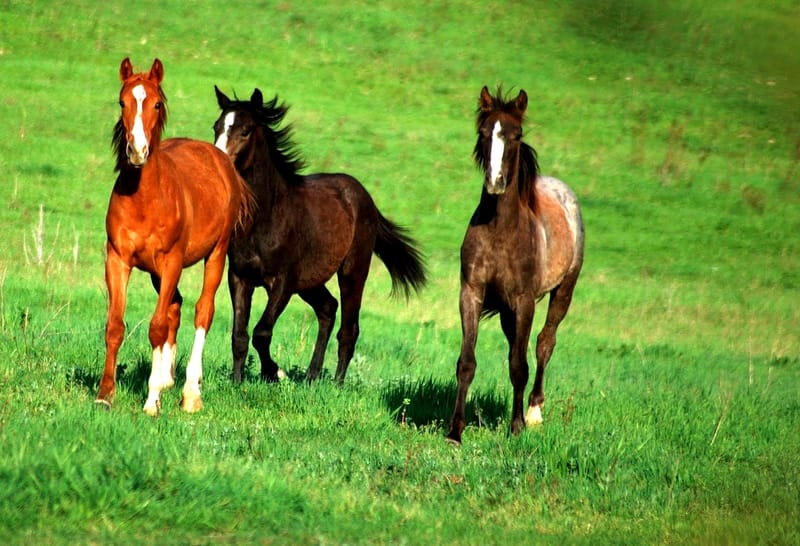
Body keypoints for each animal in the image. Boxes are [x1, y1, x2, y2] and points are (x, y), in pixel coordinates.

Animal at [97, 59, 253, 414]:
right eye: (122, 102)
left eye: (156, 103)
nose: (137, 151)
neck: (145, 198)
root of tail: (221, 160)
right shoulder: (118, 260)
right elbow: (116, 326)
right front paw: (105, 394)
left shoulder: (172, 262)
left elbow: (156, 327)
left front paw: (152, 399)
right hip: (157, 272)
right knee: (176, 306)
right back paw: (168, 377)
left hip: (215, 255)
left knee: (201, 311)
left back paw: (190, 392)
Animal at [211, 86, 424, 382]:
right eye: (216, 126)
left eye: (245, 130)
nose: (219, 164)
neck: (266, 217)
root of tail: (364, 197)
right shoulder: (240, 278)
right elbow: (239, 336)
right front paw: (237, 381)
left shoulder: (283, 282)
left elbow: (261, 333)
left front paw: (275, 373)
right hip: (310, 281)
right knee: (328, 309)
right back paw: (312, 376)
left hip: (353, 272)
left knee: (348, 329)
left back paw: (336, 383)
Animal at [446, 85, 584, 442]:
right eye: (483, 133)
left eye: (517, 134)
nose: (495, 181)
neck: (500, 231)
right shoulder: (472, 293)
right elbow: (467, 363)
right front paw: (455, 431)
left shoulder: (524, 301)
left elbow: (520, 366)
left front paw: (517, 426)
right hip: (508, 311)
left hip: (563, 291)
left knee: (544, 343)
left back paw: (534, 411)